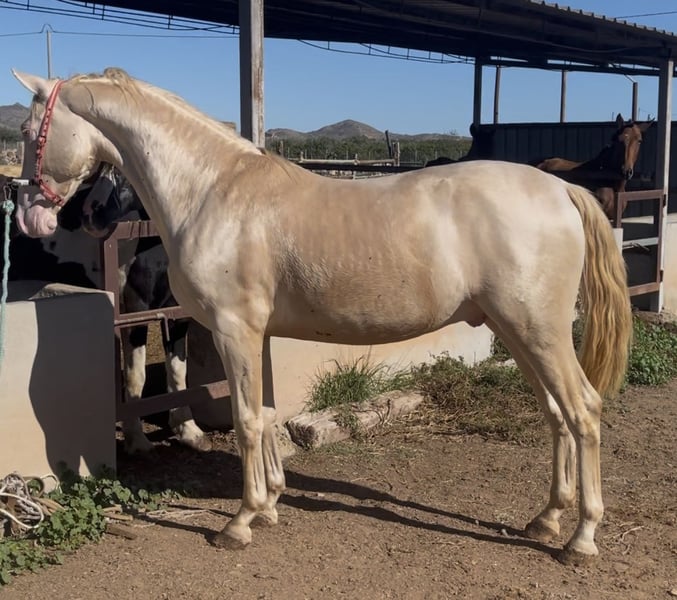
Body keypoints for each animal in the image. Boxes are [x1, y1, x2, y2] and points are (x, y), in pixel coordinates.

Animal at [1, 170, 210, 454]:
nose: (91, 214)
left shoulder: (177, 312)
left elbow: (178, 370)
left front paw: (189, 431)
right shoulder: (135, 309)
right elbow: (136, 375)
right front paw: (137, 440)